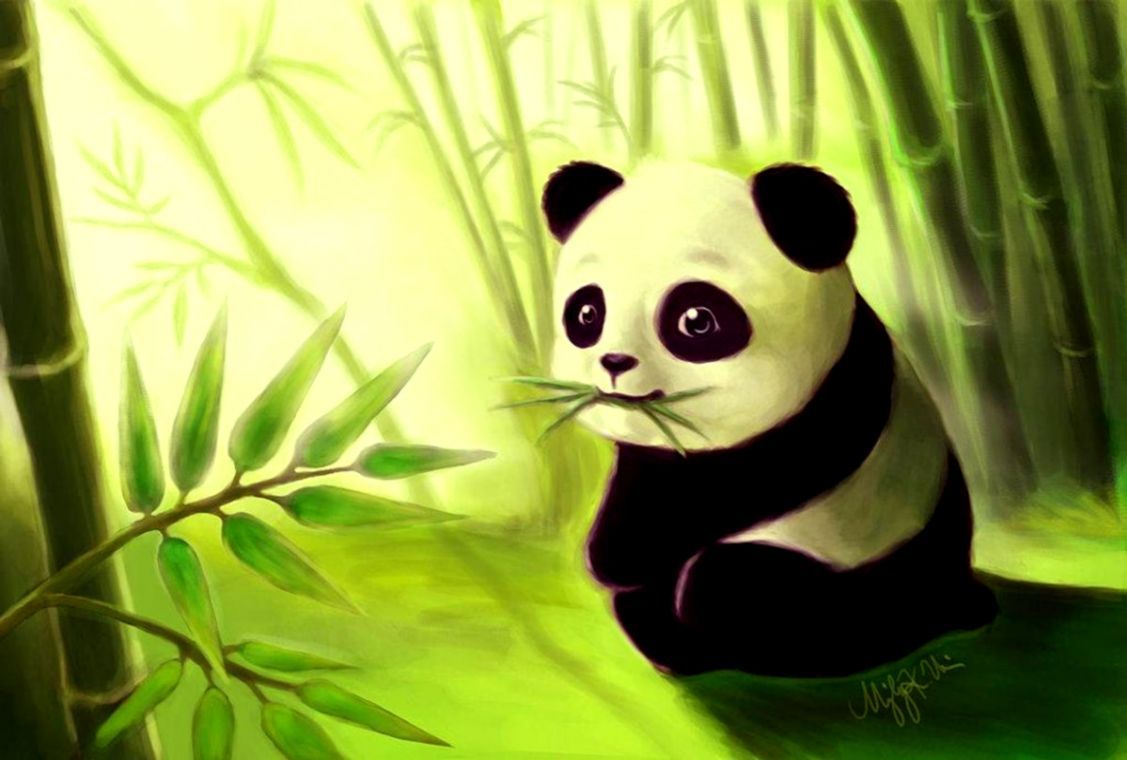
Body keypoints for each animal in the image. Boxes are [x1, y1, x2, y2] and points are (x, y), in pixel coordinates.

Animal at [540, 160, 997, 677]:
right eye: (586, 312)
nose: (614, 362)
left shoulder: (834, 399)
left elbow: (751, 482)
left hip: (870, 560)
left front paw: (620, 558)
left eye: (696, 319)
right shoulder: (652, 459)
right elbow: (645, 483)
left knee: (745, 589)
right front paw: (611, 553)